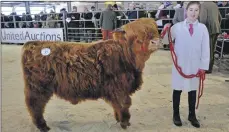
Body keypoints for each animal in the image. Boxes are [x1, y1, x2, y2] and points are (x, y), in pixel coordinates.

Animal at [22, 17, 160, 132]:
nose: (155, 42)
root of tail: (32, 44)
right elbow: (124, 104)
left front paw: (118, 118)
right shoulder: (120, 89)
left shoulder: (114, 91)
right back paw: (42, 126)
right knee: (35, 105)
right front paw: (124, 123)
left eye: (155, 31)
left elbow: (117, 105)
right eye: (137, 36)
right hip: (38, 87)